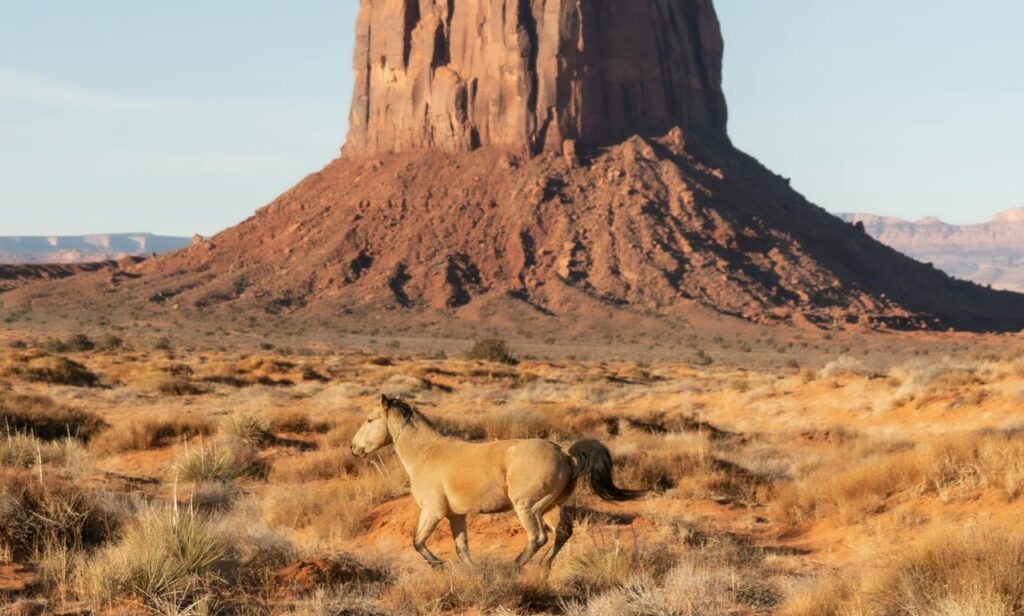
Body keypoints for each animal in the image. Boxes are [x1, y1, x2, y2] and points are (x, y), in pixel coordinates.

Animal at [350, 394, 642, 568]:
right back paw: (544, 568)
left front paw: (438, 566)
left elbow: (417, 541)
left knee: (538, 537)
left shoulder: (432, 511)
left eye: (370, 419)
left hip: (528, 507)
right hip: (551, 506)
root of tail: (565, 456)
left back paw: (514, 567)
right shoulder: (455, 516)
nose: (354, 448)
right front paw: (469, 572)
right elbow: (462, 548)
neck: (426, 453)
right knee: (563, 533)